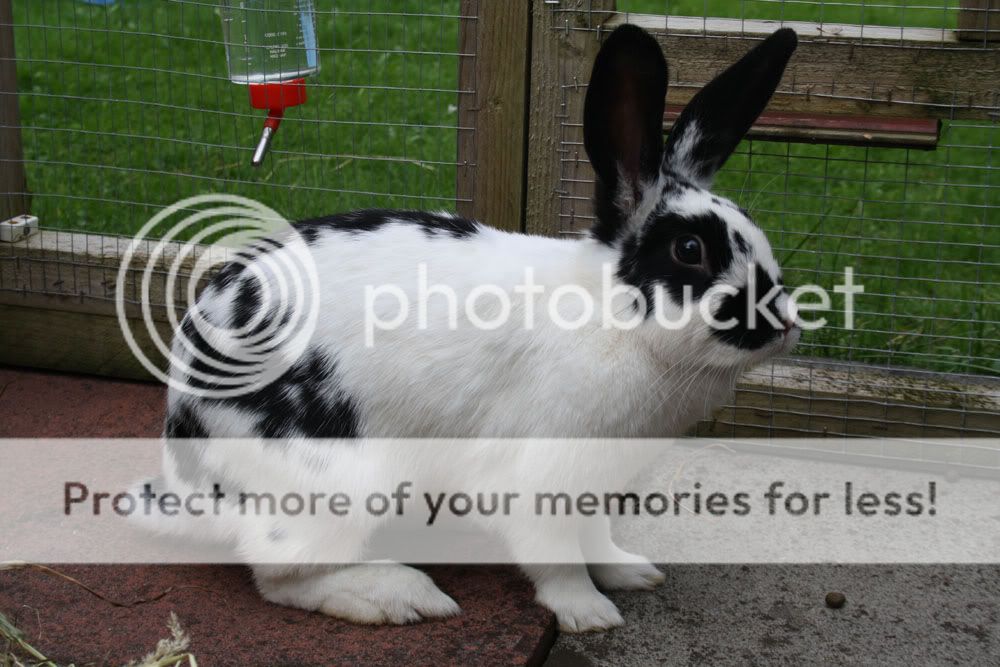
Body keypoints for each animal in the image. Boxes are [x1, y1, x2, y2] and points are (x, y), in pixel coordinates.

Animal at [154, 24, 796, 632]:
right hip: (330, 482)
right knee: (282, 575)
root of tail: (184, 437)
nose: (785, 324)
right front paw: (589, 613)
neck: (614, 320)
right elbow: (556, 556)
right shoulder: (540, 477)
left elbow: (595, 540)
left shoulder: (597, 484)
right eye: (690, 250)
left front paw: (629, 572)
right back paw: (400, 596)